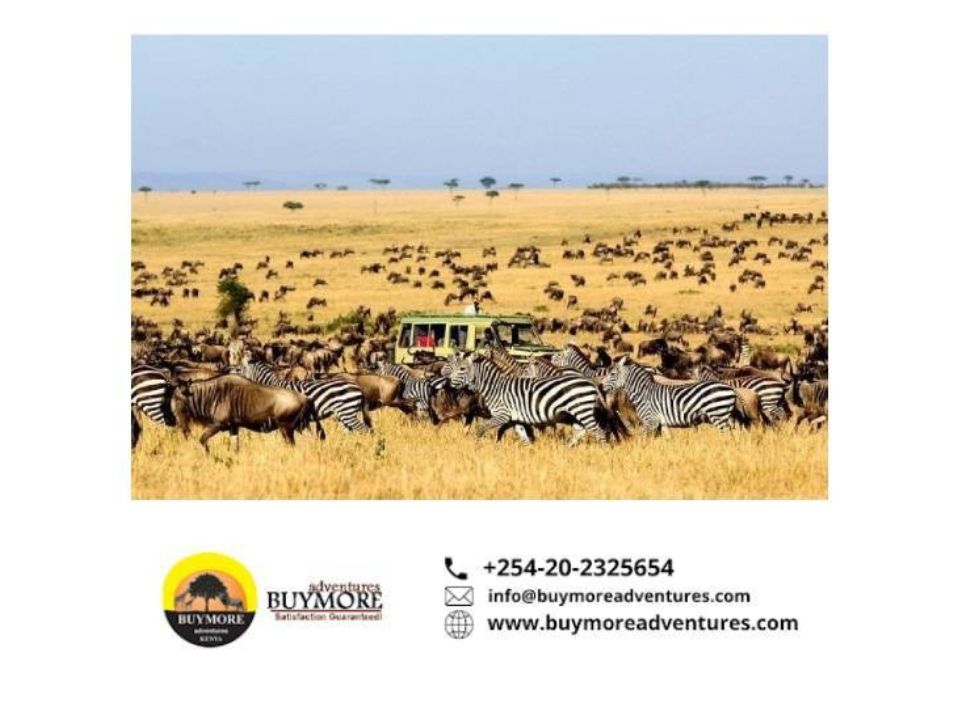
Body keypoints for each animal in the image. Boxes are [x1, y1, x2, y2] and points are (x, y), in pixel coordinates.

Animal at [447, 354, 608, 446]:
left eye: (462, 369)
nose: (448, 382)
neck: (495, 387)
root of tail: (590, 382)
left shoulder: (502, 415)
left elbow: (481, 429)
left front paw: (477, 447)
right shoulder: (515, 418)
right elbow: (523, 437)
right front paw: (530, 453)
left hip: (582, 410)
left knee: (599, 432)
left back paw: (603, 452)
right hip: (576, 413)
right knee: (580, 431)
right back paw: (567, 449)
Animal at [602, 357, 736, 434]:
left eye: (612, 374)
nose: (601, 386)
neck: (643, 393)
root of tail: (731, 389)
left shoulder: (650, 421)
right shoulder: (662, 423)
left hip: (717, 415)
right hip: (722, 415)